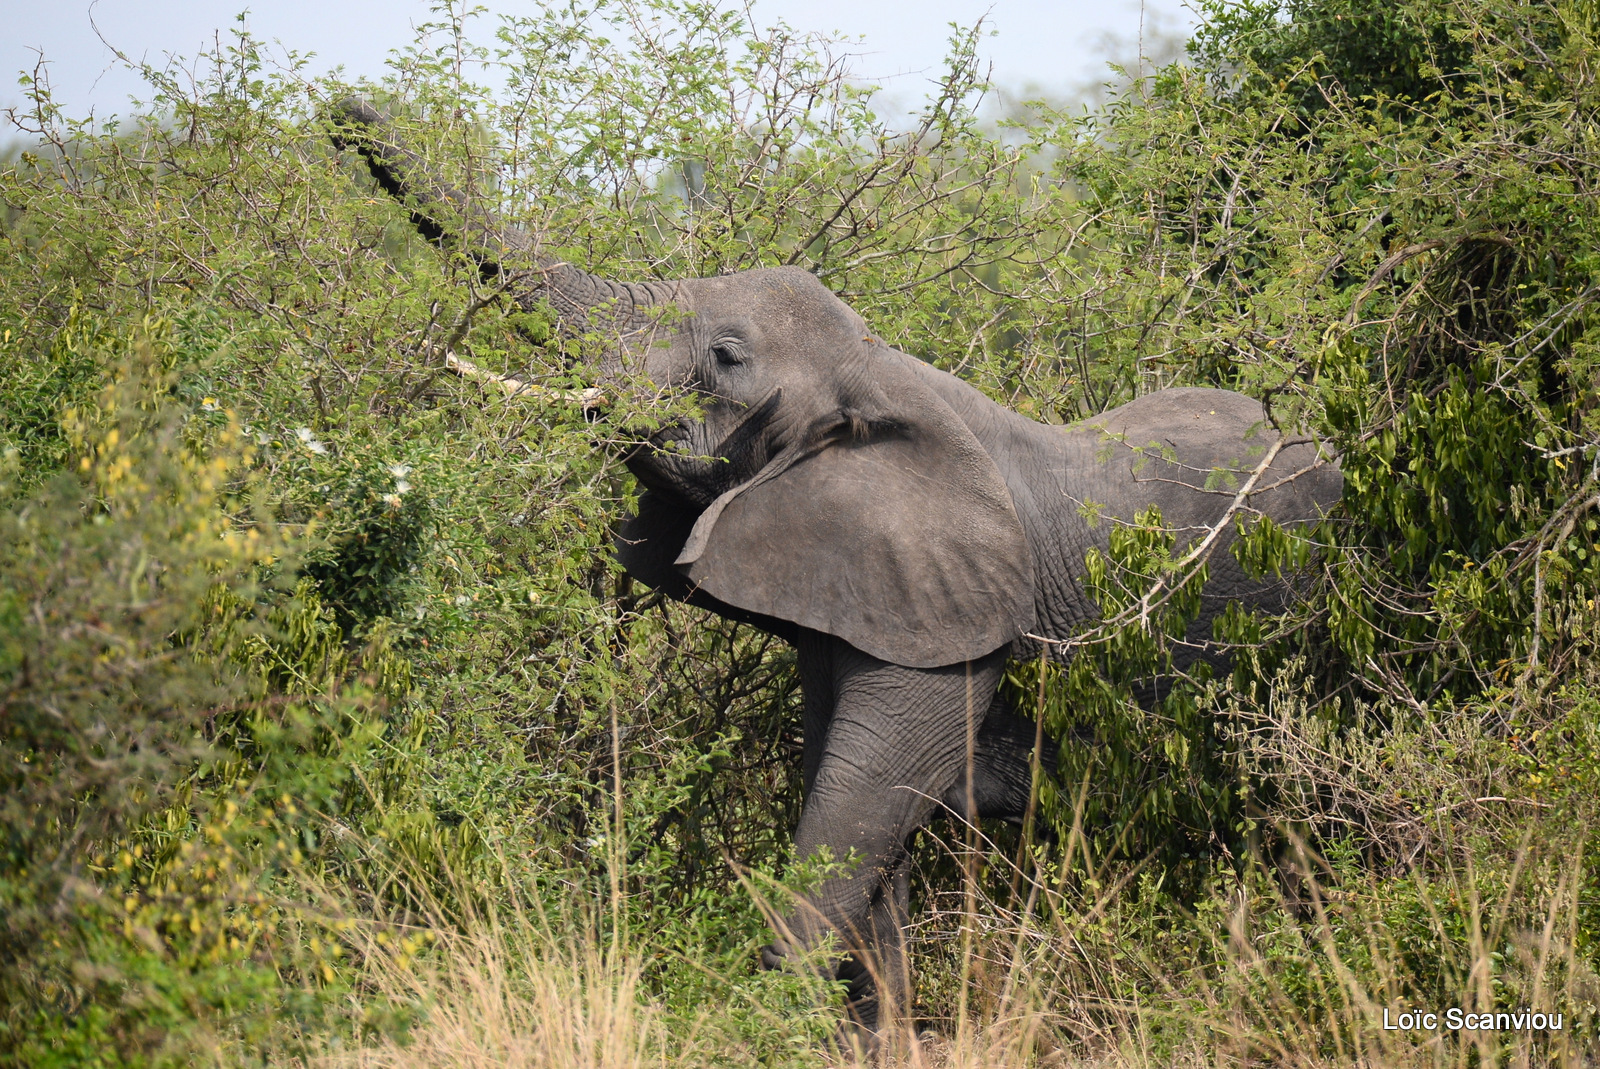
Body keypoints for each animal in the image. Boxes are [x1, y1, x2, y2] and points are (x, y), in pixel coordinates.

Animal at [334, 104, 1337, 1049]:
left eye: (727, 355)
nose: (341, 109)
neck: (878, 372)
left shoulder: (955, 625)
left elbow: (862, 802)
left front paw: (762, 1025)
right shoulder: (853, 591)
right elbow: (847, 793)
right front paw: (871, 1038)